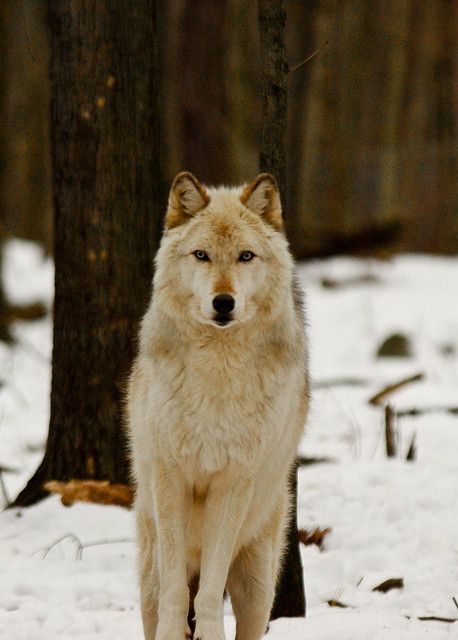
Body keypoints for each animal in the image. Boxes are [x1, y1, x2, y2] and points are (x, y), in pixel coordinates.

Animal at [127, 171, 310, 640]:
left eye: (245, 256)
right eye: (202, 255)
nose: (223, 302)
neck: (217, 375)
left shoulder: (233, 483)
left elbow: (208, 596)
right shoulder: (170, 478)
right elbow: (177, 595)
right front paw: (174, 633)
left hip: (259, 583)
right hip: (148, 568)